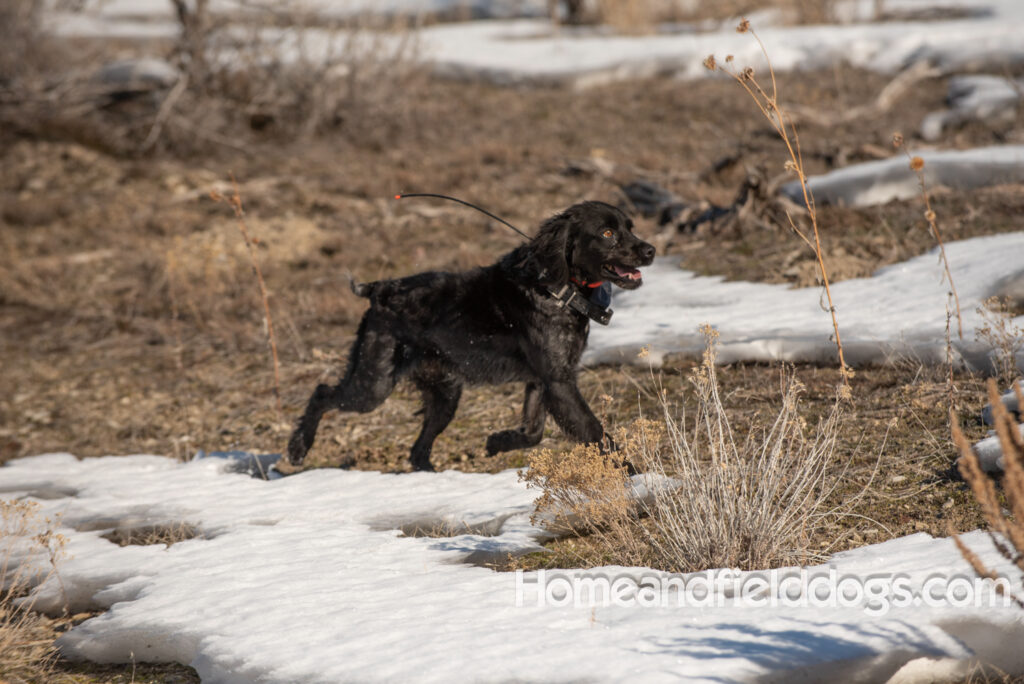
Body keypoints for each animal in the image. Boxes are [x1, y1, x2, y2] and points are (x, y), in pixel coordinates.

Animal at [288, 200, 655, 473]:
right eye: (607, 232)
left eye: (630, 227)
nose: (651, 250)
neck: (557, 288)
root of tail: (379, 290)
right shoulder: (559, 382)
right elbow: (596, 432)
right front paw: (636, 477)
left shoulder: (542, 381)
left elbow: (533, 432)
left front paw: (497, 442)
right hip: (374, 385)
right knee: (322, 393)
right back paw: (297, 448)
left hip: (446, 393)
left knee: (417, 451)